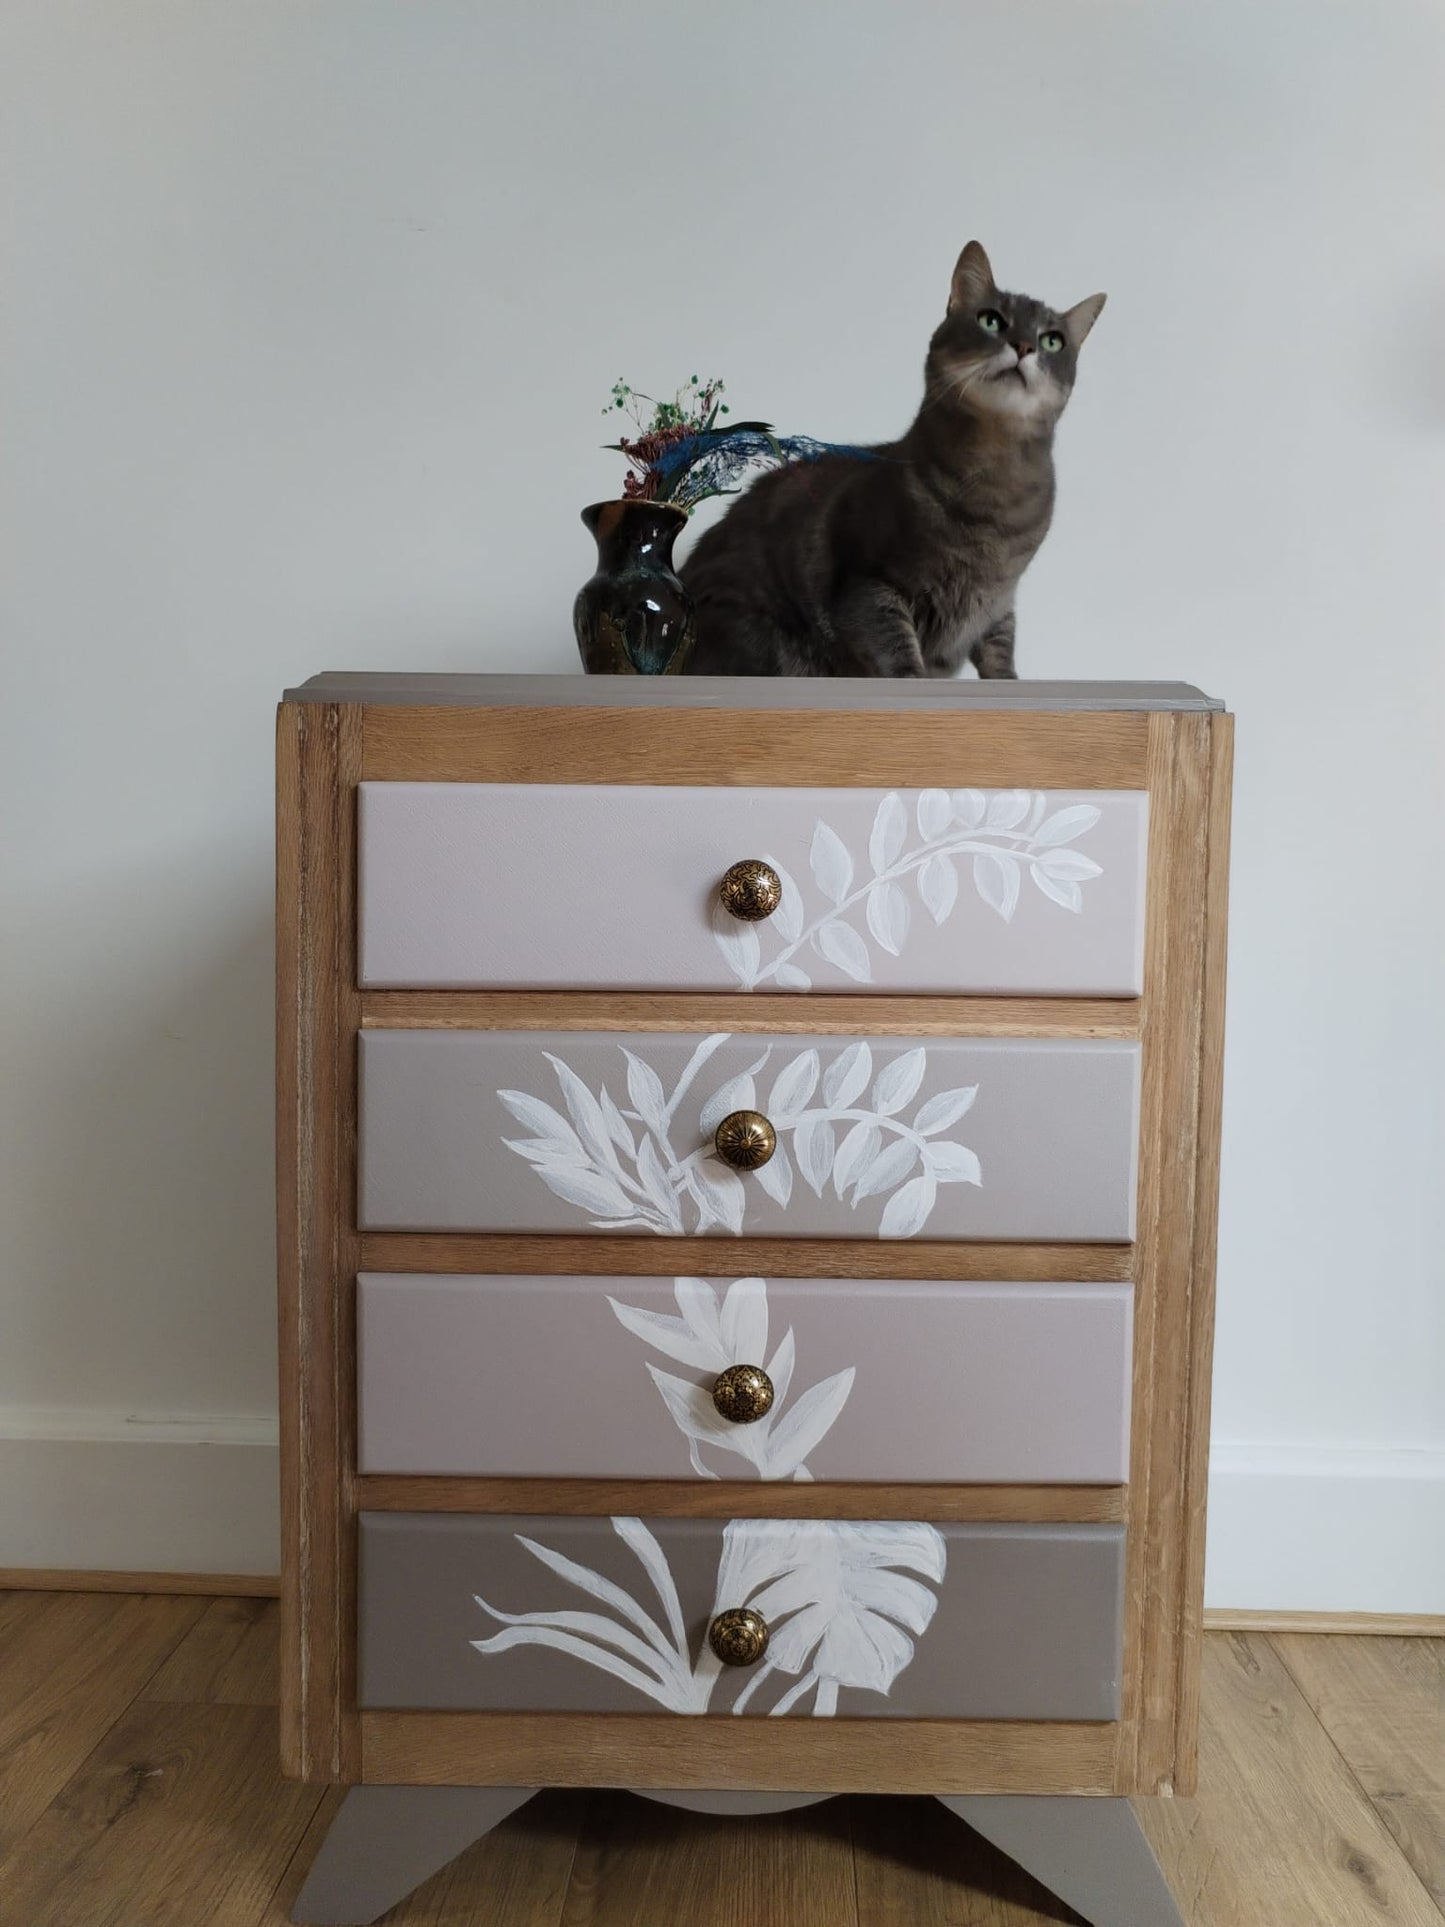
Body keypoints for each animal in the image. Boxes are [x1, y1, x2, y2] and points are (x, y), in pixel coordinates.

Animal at [685, 246, 1102, 678]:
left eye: (1052, 341)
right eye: (991, 320)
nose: (1023, 346)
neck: (997, 486)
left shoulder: (999, 602)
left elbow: (1000, 648)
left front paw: (1007, 678)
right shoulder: (871, 585)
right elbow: (897, 650)